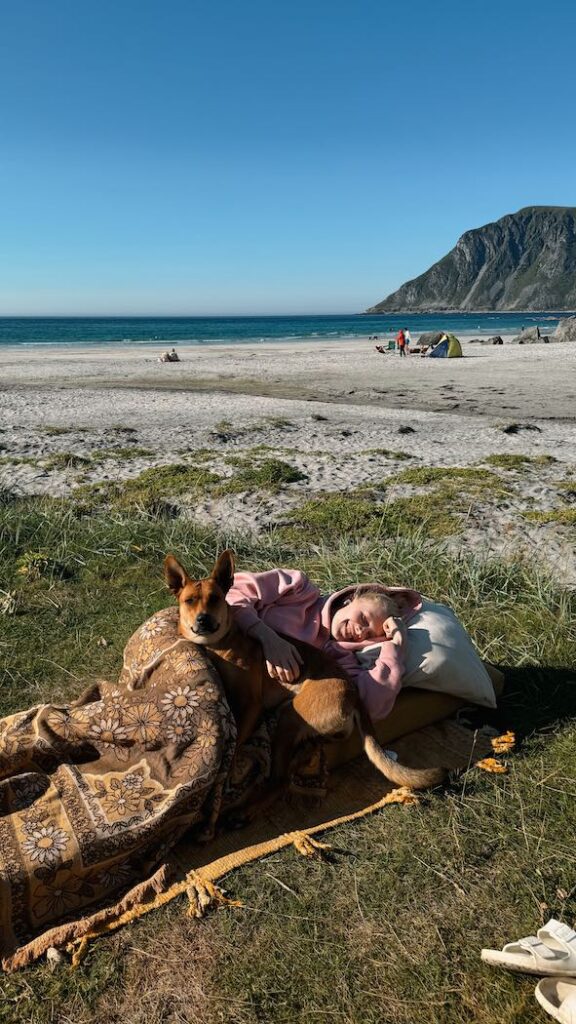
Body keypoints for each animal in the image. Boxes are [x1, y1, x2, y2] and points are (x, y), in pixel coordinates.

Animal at [161, 552, 444, 815]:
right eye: (189, 601)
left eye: (215, 598)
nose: (203, 620)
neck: (221, 644)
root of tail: (354, 694)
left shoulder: (251, 705)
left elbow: (235, 745)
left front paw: (226, 777)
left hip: (289, 716)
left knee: (280, 781)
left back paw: (241, 813)